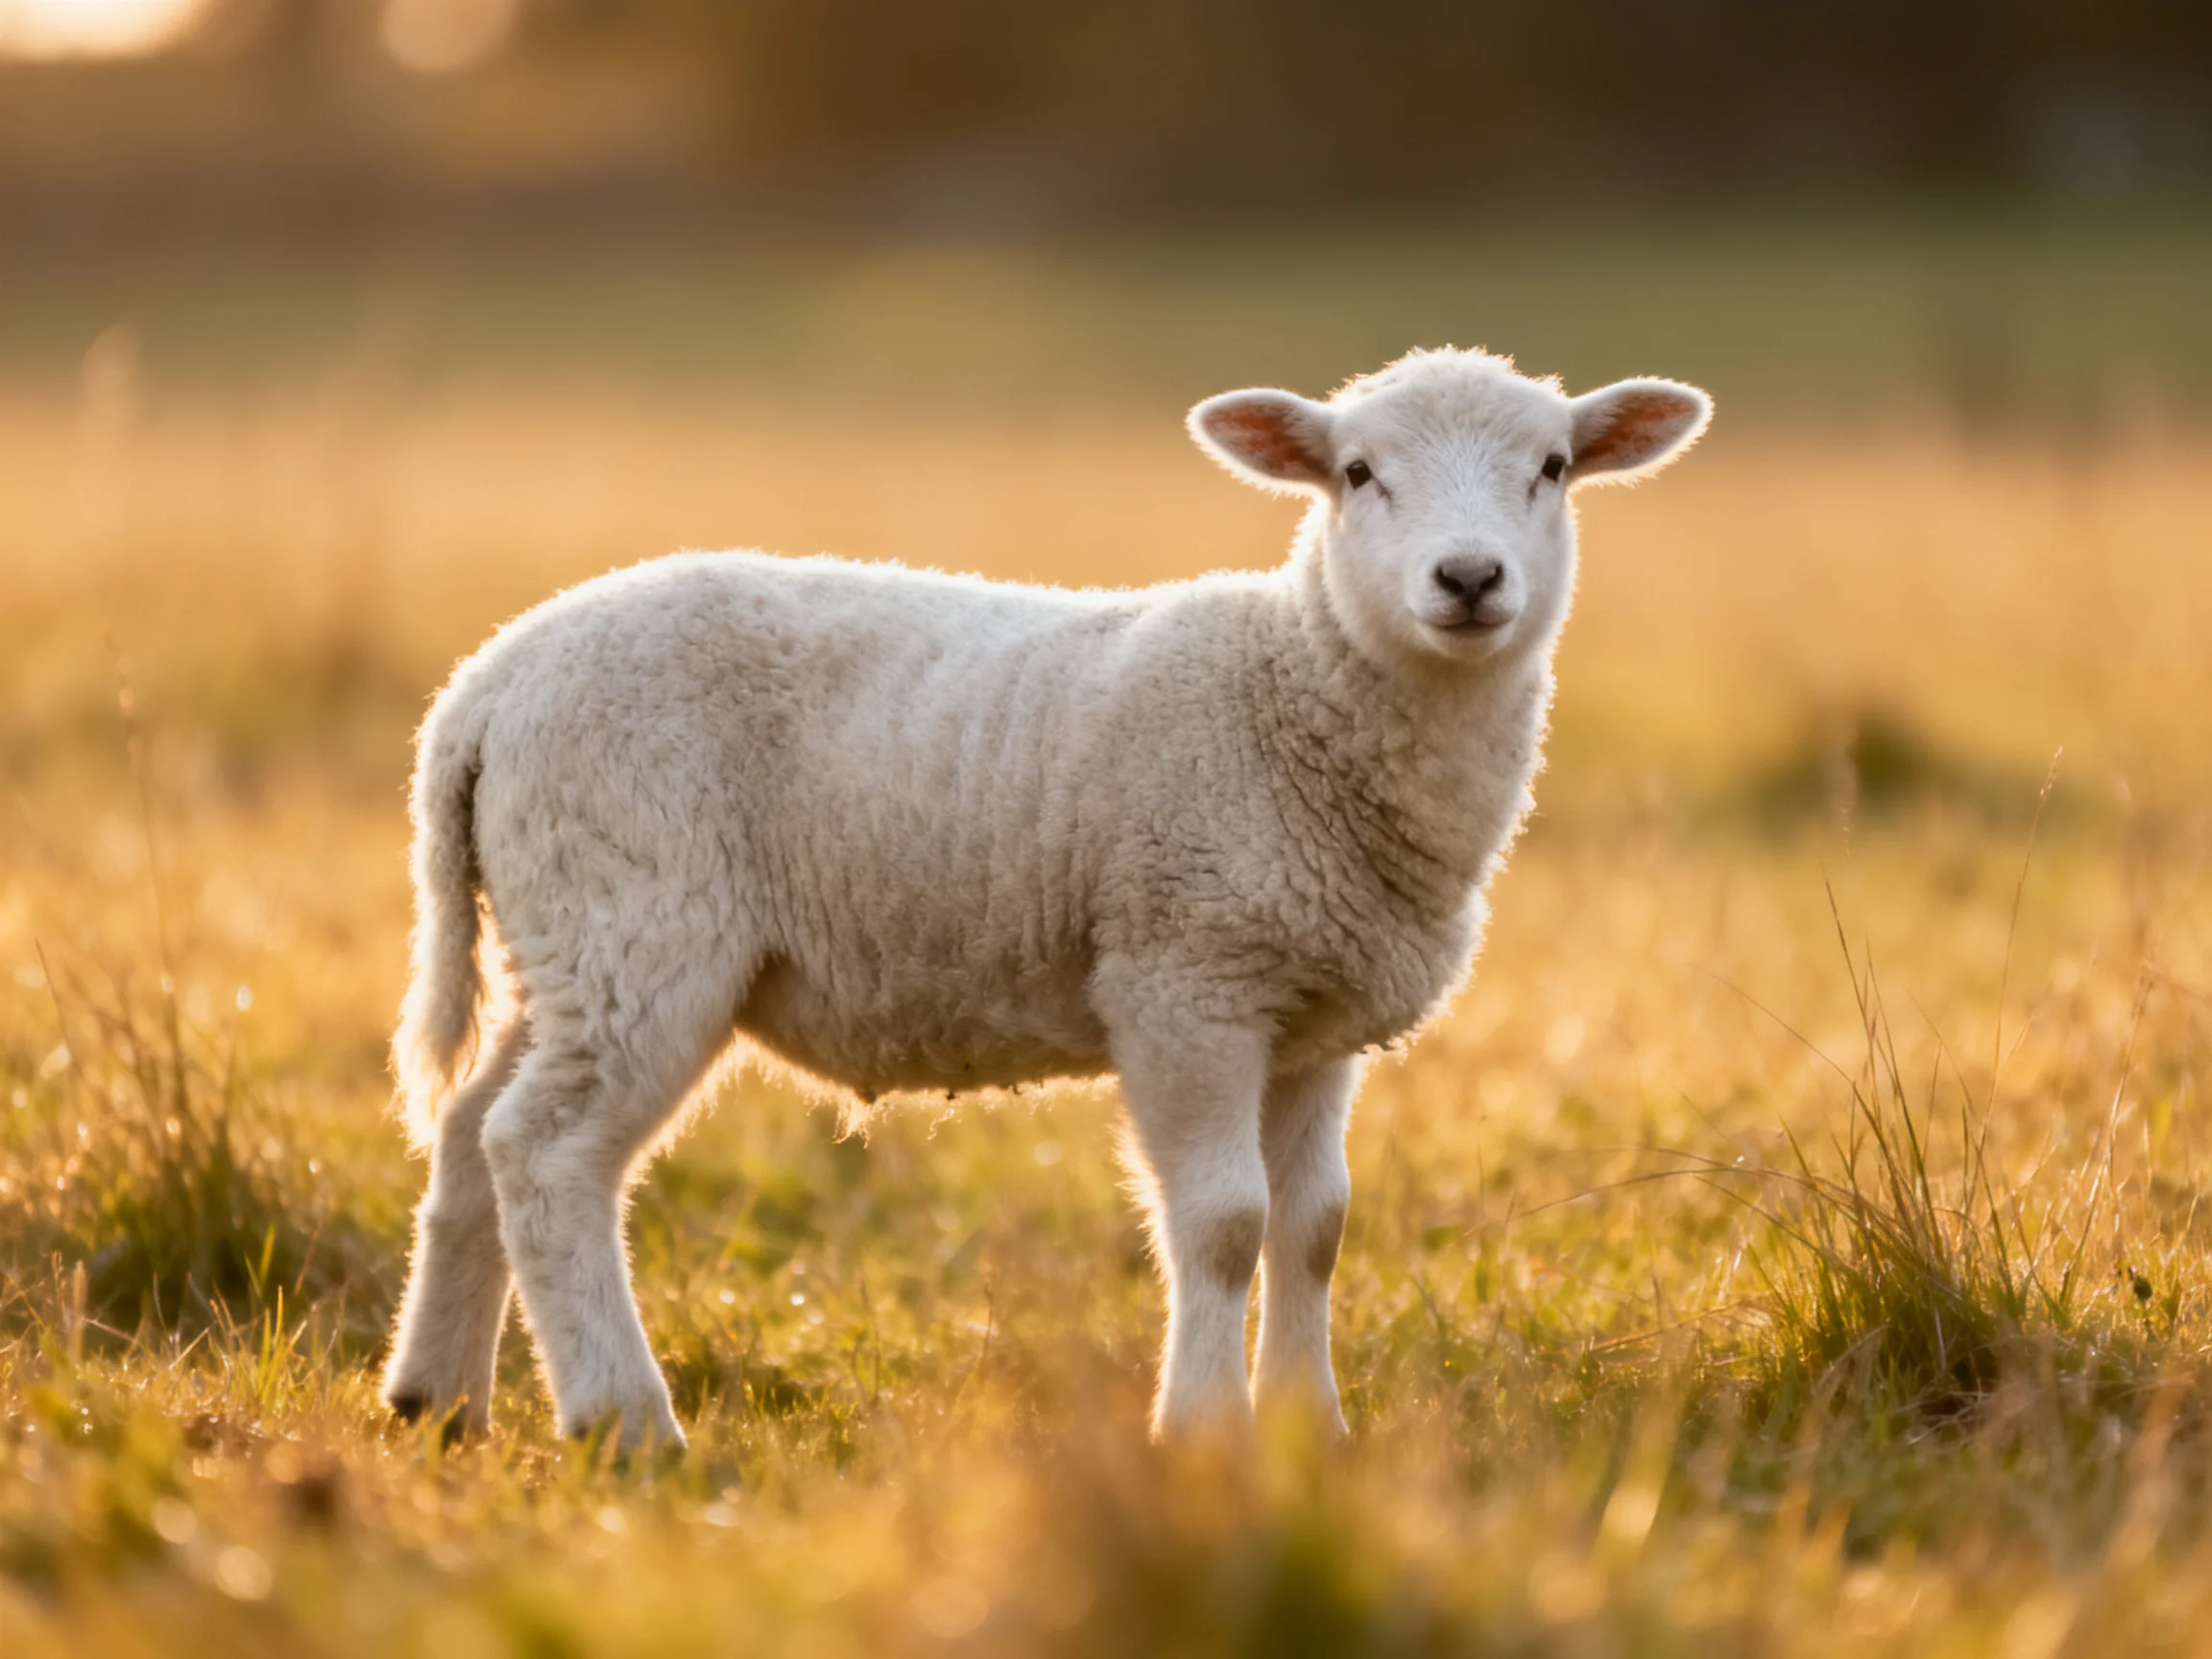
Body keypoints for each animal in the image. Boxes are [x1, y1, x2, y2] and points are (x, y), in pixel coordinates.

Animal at [378, 346, 1712, 1450]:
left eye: (1552, 468)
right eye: (1357, 473)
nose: (1470, 577)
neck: (1296, 689)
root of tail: (482, 689)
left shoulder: (1311, 1014)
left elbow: (1315, 1226)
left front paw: (1309, 1431)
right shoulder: (1185, 978)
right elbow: (1224, 1222)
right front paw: (1205, 1433)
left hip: (564, 936)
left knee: (473, 1134)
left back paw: (435, 1400)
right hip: (637, 918)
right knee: (546, 1154)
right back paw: (623, 1422)